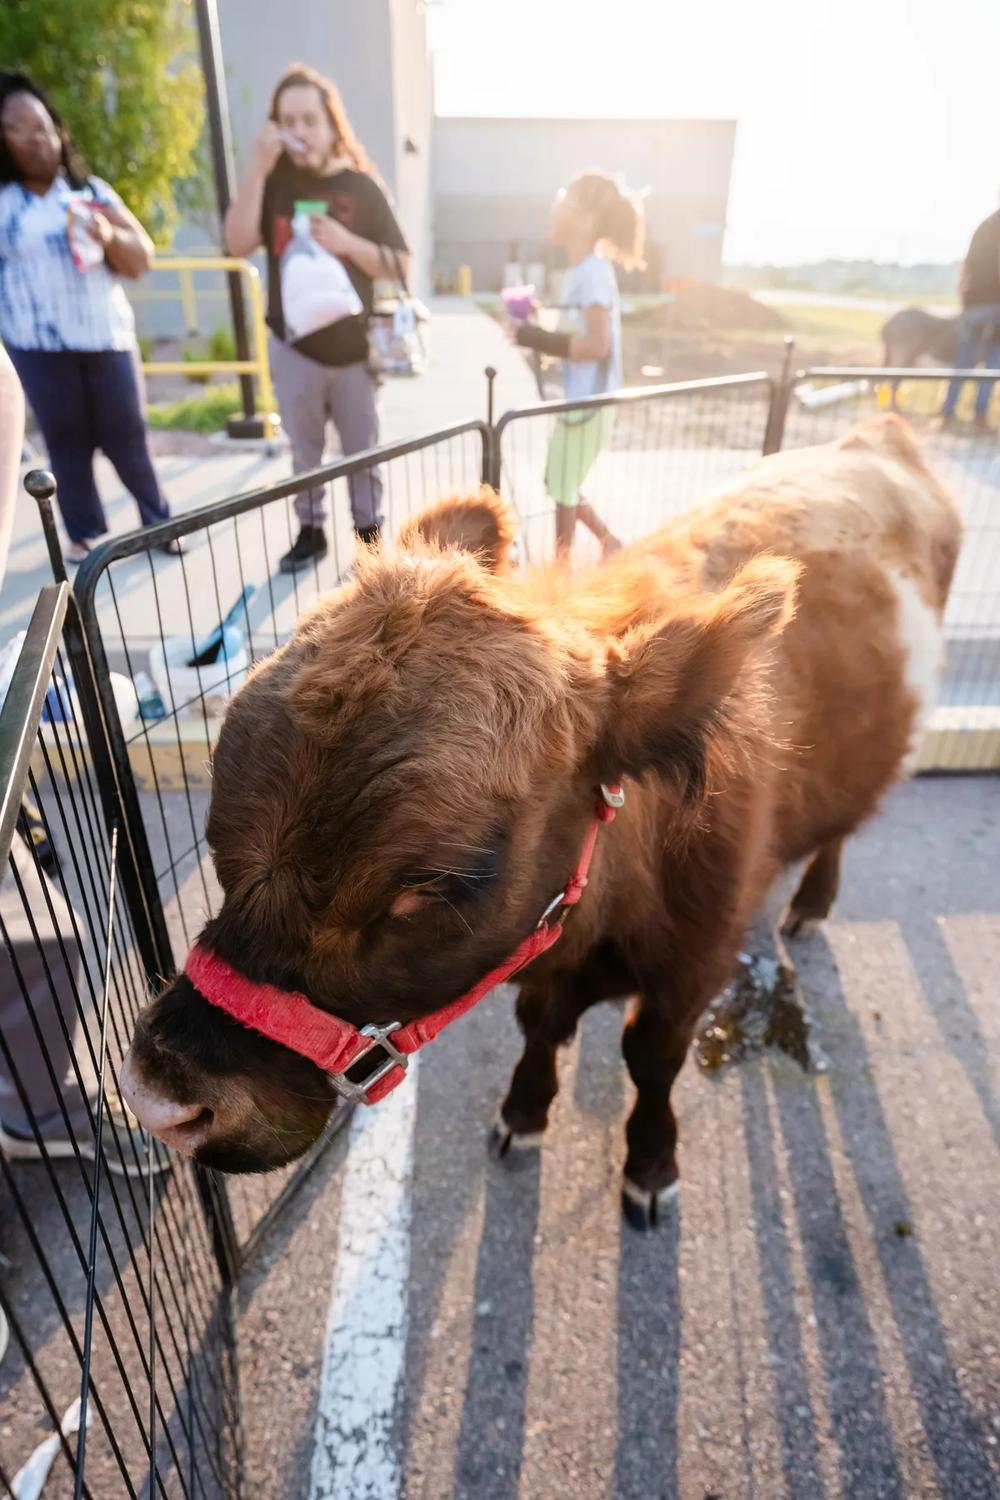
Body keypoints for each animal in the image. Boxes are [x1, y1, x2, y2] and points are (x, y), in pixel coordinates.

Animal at [120, 416, 960, 1229]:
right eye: (219, 828)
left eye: (437, 885)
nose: (161, 1100)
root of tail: (878, 436)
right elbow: (539, 1025)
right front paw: (523, 1112)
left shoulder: (693, 967)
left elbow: (651, 1059)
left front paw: (650, 1163)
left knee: (842, 831)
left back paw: (812, 903)